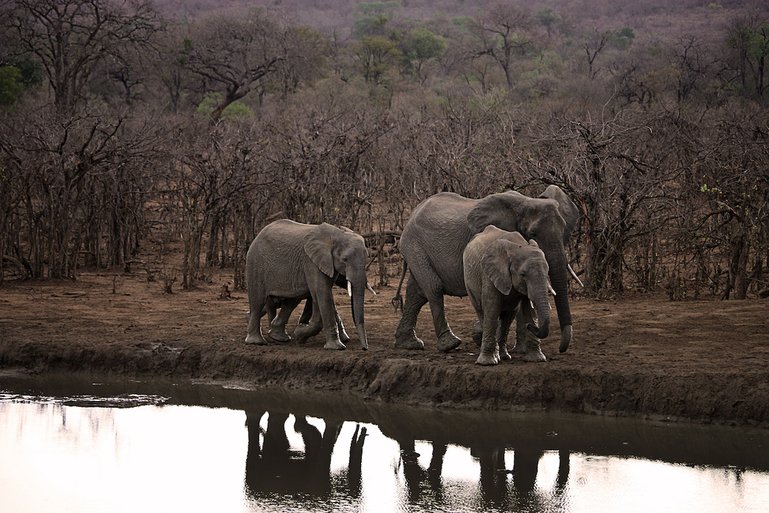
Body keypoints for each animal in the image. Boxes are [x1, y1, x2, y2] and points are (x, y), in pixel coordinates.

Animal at [243, 218, 368, 350]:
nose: (364, 348)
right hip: (255, 263)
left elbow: (321, 295)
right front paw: (337, 347)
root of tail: (259, 234)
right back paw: (256, 341)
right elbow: (322, 293)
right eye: (344, 259)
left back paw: (279, 337)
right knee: (258, 301)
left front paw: (300, 335)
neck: (337, 234)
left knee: (291, 300)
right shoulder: (311, 262)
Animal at [462, 226, 552, 366]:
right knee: (483, 312)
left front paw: (537, 359)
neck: (518, 246)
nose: (529, 326)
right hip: (469, 282)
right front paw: (488, 363)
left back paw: (504, 356)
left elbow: (529, 310)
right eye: (523, 274)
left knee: (508, 316)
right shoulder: (489, 274)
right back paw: (495, 356)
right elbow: (492, 307)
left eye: (547, 272)